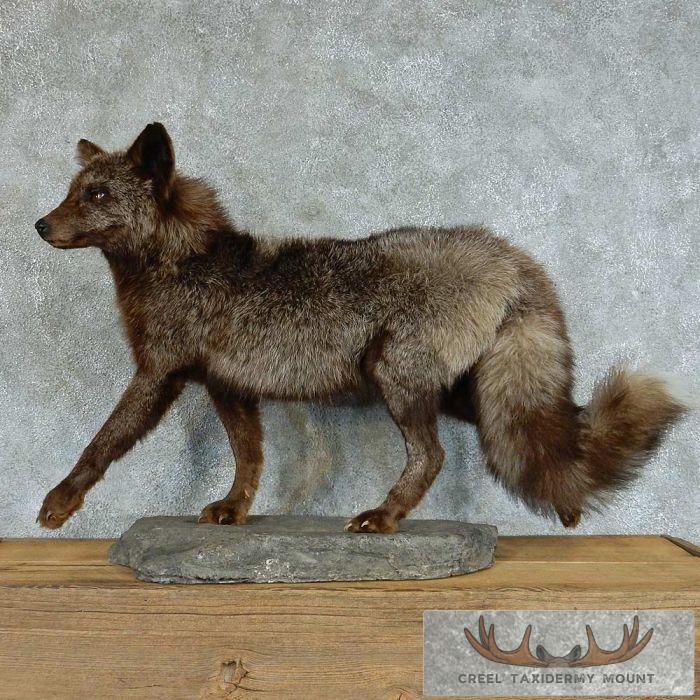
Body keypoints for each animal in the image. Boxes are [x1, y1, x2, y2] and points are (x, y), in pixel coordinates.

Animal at [35, 122, 689, 533]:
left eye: (97, 195)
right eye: (71, 193)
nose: (40, 224)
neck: (181, 263)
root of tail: (508, 254)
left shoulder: (158, 374)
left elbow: (100, 444)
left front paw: (61, 501)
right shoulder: (229, 389)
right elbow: (249, 460)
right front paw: (235, 511)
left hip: (396, 380)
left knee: (434, 457)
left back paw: (385, 516)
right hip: (463, 396)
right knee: (548, 436)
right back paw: (569, 506)